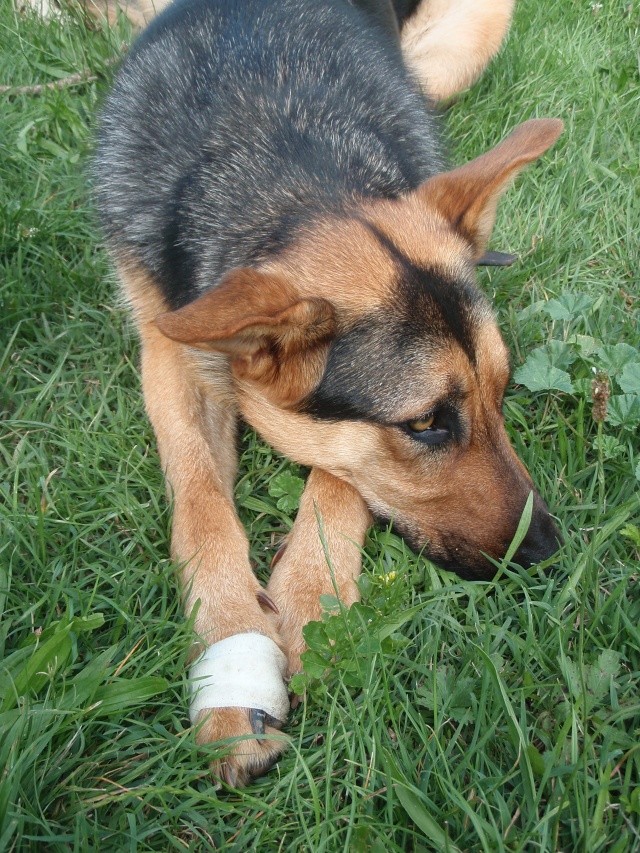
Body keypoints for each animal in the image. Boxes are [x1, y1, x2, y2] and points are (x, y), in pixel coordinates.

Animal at [92, 0, 564, 784]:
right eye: (427, 423)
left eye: (501, 391)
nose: (549, 553)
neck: (286, 163)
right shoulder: (168, 349)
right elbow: (200, 503)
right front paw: (234, 660)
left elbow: (342, 476)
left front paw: (311, 601)